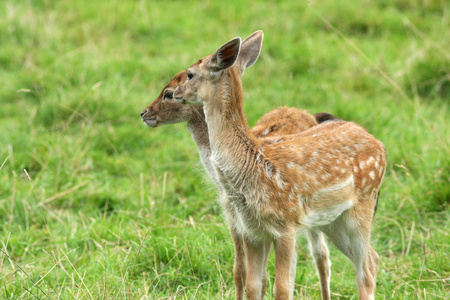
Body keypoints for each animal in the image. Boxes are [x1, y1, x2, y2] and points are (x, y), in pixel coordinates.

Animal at [169, 31, 386, 300]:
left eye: (189, 74)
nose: (173, 92)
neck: (251, 168)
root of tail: (379, 145)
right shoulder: (251, 230)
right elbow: (253, 285)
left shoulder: (286, 225)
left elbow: (281, 288)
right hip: (332, 218)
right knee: (371, 259)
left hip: (363, 204)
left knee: (365, 269)